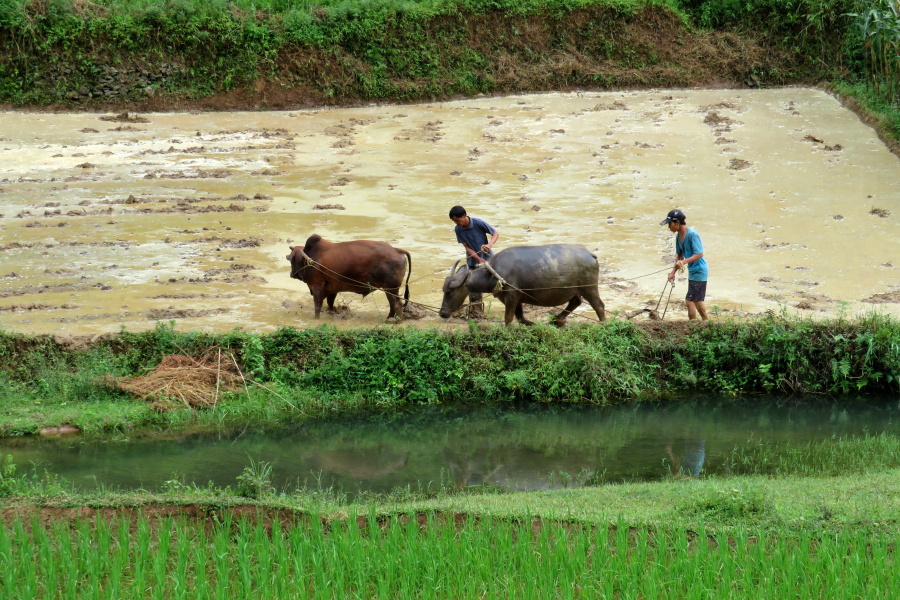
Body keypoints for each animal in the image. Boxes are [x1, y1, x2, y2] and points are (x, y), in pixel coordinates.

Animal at [286, 234, 414, 322]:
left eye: (292, 260)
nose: (291, 274)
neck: (310, 258)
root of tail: (396, 250)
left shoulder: (317, 286)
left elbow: (317, 306)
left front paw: (316, 319)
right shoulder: (332, 289)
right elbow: (330, 303)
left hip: (391, 288)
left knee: (397, 303)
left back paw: (396, 321)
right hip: (390, 289)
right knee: (392, 304)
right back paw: (388, 319)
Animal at [438, 244, 604, 326]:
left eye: (449, 292)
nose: (442, 313)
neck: (493, 273)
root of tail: (590, 254)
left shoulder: (511, 296)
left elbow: (508, 318)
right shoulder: (516, 299)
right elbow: (520, 317)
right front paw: (531, 324)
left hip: (589, 288)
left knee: (598, 305)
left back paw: (603, 324)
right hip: (577, 290)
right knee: (575, 302)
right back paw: (557, 319)